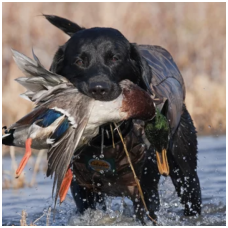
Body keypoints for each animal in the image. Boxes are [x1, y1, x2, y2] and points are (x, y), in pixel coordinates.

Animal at [44, 14, 201, 224]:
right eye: (79, 61)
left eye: (114, 58)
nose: (99, 88)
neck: (105, 140)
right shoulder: (83, 190)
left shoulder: (145, 190)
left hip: (185, 171)